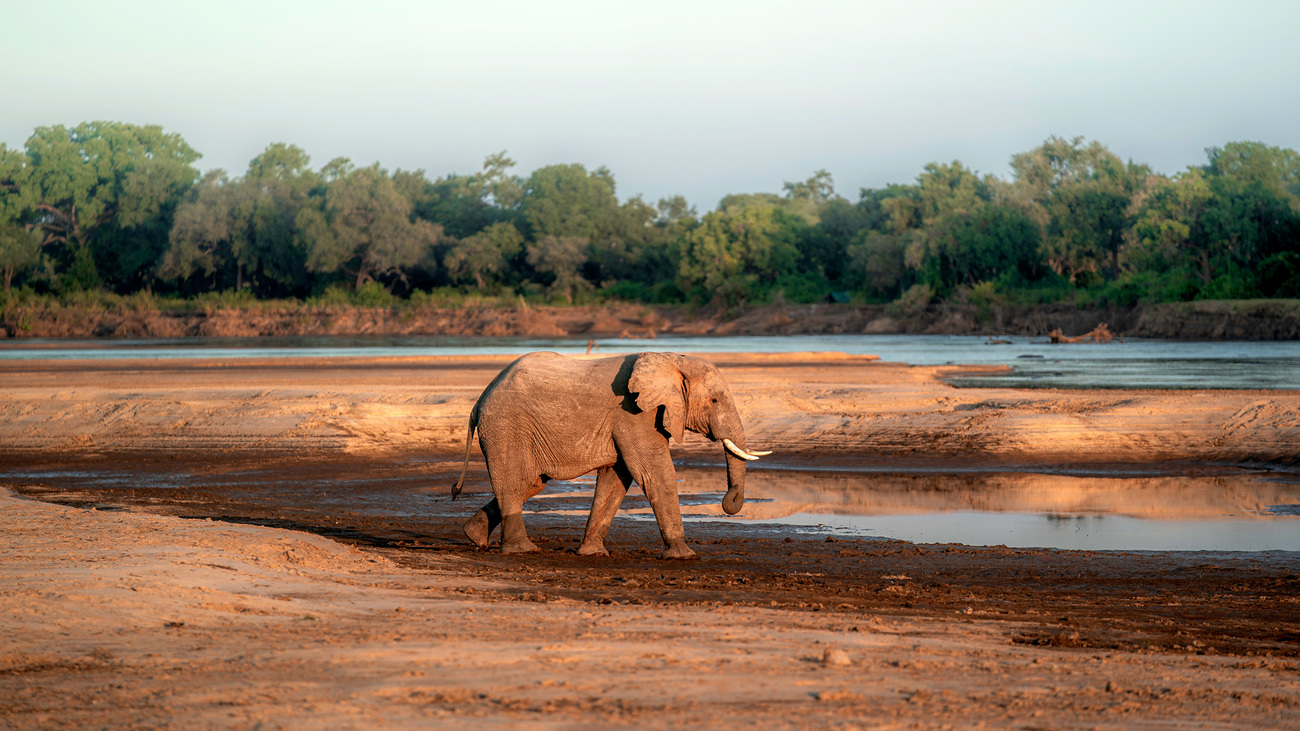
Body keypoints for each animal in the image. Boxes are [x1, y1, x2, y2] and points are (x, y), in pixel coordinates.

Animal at [449, 351, 764, 554]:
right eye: (714, 400)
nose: (729, 500)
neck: (673, 360)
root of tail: (479, 400)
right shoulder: (634, 414)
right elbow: (654, 474)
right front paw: (682, 554)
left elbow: (616, 478)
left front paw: (592, 553)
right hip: (506, 426)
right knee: (515, 482)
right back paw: (522, 550)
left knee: (530, 483)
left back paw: (474, 537)